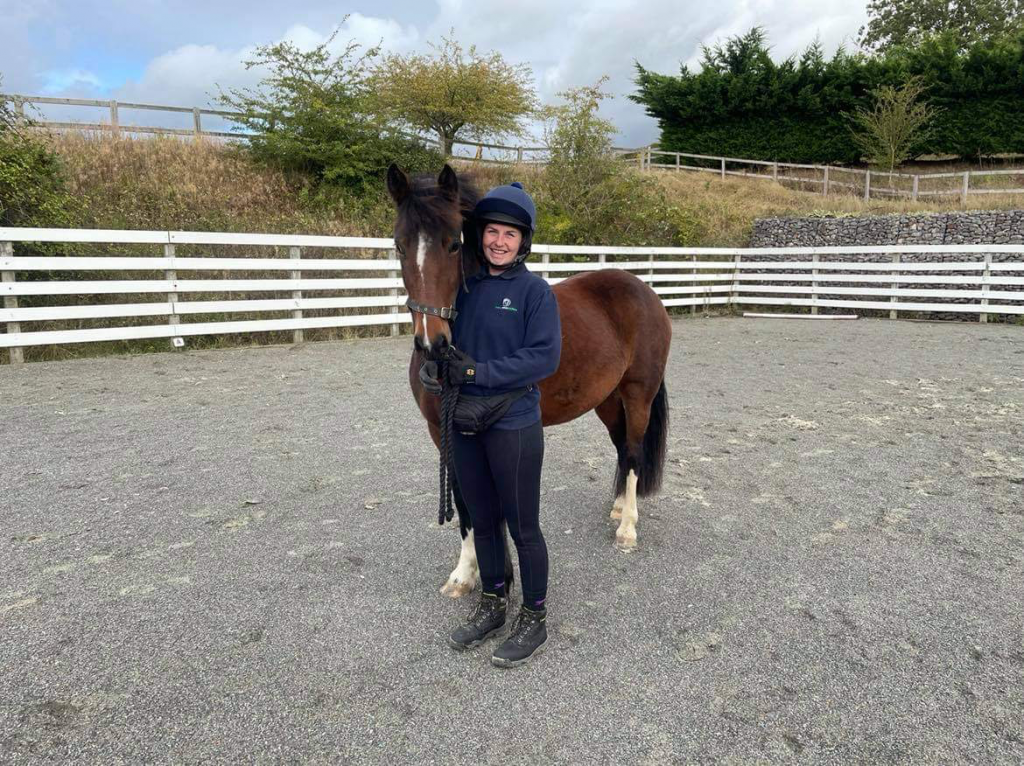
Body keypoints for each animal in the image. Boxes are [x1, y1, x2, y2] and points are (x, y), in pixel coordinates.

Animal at [387, 163, 672, 598]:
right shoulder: (443, 432)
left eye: (453, 245)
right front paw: (466, 574)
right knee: (624, 448)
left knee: (636, 452)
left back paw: (627, 529)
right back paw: (620, 506)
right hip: (608, 401)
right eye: (400, 246)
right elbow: (466, 502)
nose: (431, 343)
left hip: (638, 394)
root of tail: (645, 291)